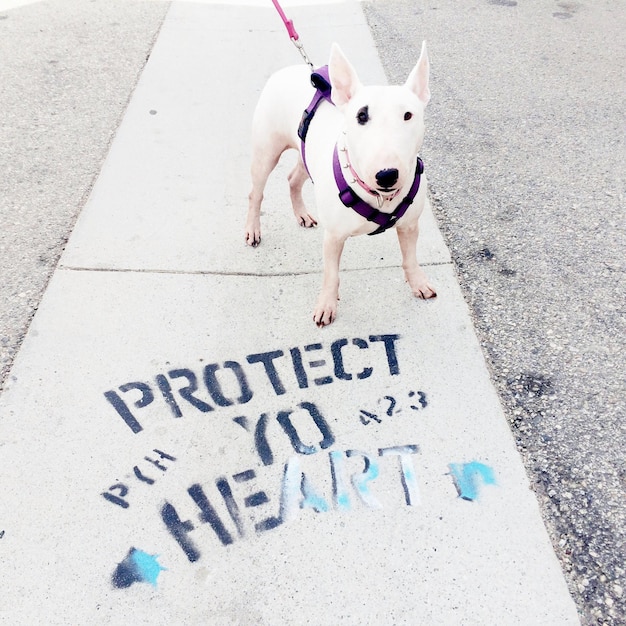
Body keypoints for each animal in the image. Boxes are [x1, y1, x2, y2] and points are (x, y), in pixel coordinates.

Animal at [244, 42, 434, 326]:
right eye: (361, 115)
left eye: (408, 115)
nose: (387, 175)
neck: (378, 197)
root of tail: (286, 70)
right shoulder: (333, 237)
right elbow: (331, 274)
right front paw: (326, 306)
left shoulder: (409, 225)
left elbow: (410, 258)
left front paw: (418, 283)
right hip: (266, 153)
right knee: (256, 193)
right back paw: (252, 229)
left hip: (306, 154)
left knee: (293, 179)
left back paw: (302, 214)